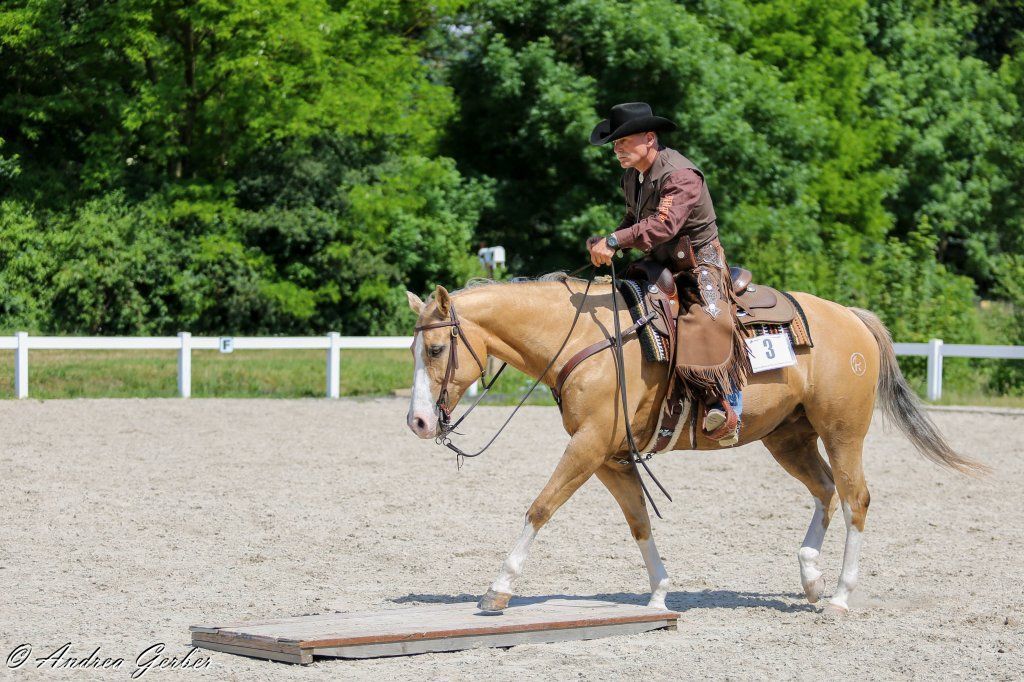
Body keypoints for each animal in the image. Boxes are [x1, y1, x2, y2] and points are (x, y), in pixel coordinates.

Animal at [405, 275, 984, 615]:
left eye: (434, 349)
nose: (417, 421)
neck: (583, 340)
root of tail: (851, 317)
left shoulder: (588, 447)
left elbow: (540, 507)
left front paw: (498, 588)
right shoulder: (609, 457)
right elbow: (638, 520)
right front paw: (660, 593)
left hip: (843, 433)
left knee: (854, 499)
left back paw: (840, 597)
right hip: (788, 438)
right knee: (825, 491)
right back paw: (811, 580)